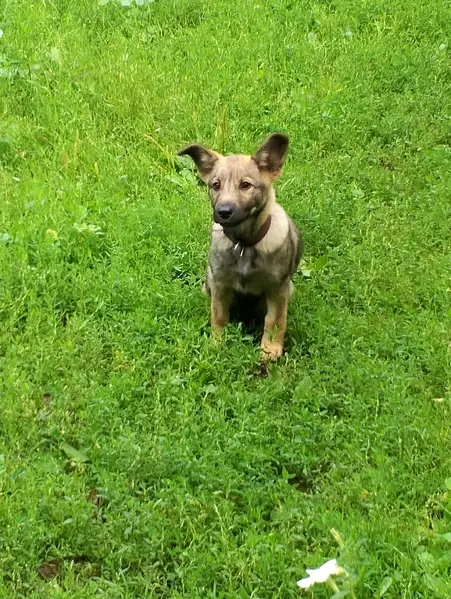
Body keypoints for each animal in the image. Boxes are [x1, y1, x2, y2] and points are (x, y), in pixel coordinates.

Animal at [178, 133, 302, 361]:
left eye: (245, 185)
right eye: (215, 185)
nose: (223, 212)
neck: (244, 244)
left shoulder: (277, 288)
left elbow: (274, 320)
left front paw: (270, 349)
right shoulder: (219, 283)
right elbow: (218, 315)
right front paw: (217, 343)